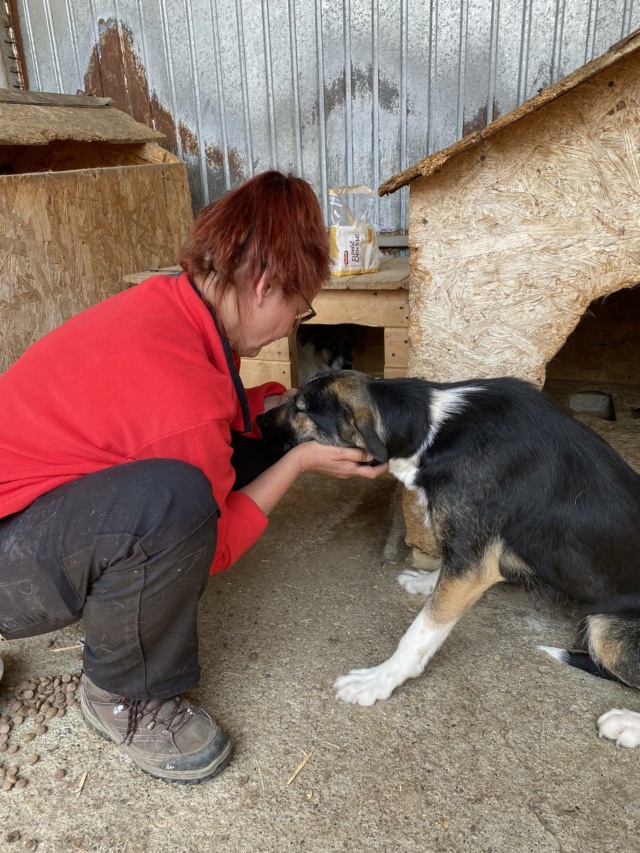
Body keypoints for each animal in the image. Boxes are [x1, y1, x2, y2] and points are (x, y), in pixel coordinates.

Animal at [258, 372, 640, 744]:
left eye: (300, 410)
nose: (258, 420)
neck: (432, 430)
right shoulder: (466, 556)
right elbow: (443, 575)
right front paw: (426, 582)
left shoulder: (475, 566)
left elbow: (419, 633)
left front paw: (379, 679)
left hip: (605, 630)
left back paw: (627, 724)